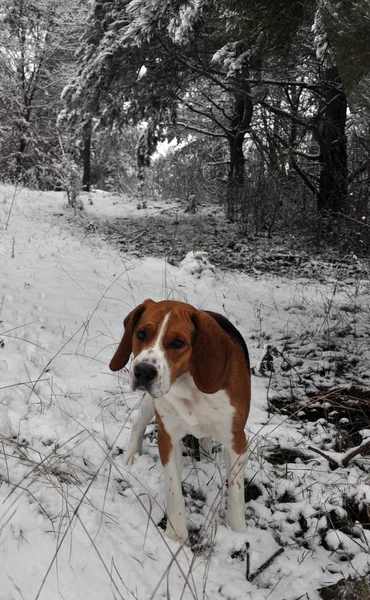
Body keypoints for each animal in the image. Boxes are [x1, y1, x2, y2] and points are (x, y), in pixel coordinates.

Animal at [108, 300, 250, 544]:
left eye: (177, 343)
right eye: (141, 334)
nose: (143, 371)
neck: (190, 387)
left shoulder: (236, 440)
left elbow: (236, 492)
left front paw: (238, 532)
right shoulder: (169, 438)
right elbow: (174, 490)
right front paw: (176, 535)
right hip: (150, 403)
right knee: (138, 423)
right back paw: (131, 455)